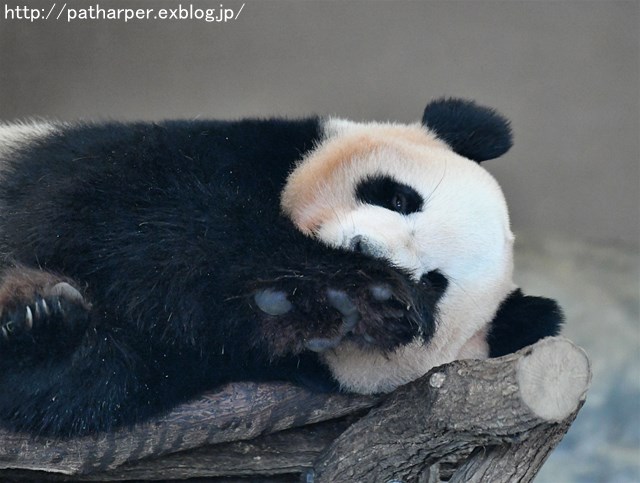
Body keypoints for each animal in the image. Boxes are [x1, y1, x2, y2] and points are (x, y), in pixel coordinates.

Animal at [0, 99, 560, 438]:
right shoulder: (205, 152)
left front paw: (39, 320)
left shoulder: (213, 358)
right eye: (400, 198)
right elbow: (134, 212)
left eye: (432, 285)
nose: (362, 250)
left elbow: (93, 382)